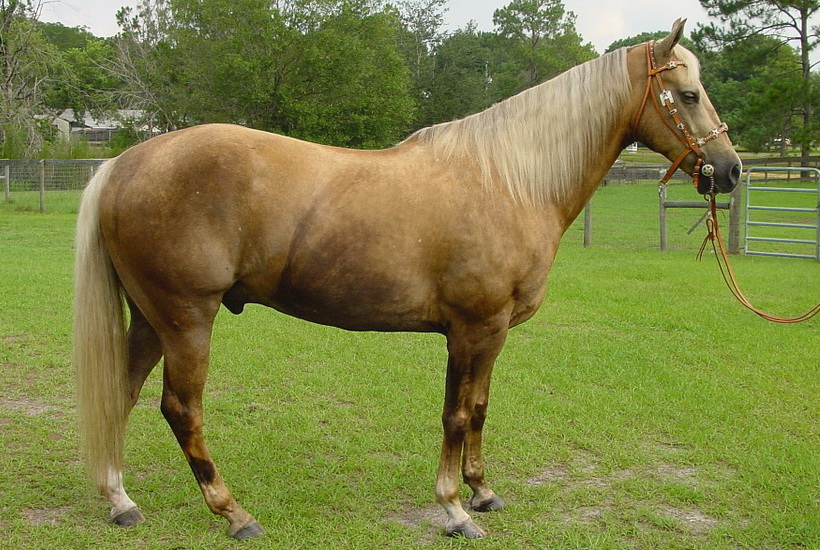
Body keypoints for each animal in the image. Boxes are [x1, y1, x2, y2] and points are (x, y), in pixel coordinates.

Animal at [74, 19, 741, 539]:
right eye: (686, 95)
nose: (730, 170)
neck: (508, 181)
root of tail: (122, 163)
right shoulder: (472, 330)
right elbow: (455, 415)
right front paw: (453, 510)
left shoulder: (493, 333)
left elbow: (479, 408)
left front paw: (482, 492)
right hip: (187, 318)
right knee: (180, 409)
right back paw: (233, 513)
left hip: (150, 318)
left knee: (122, 393)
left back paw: (120, 501)